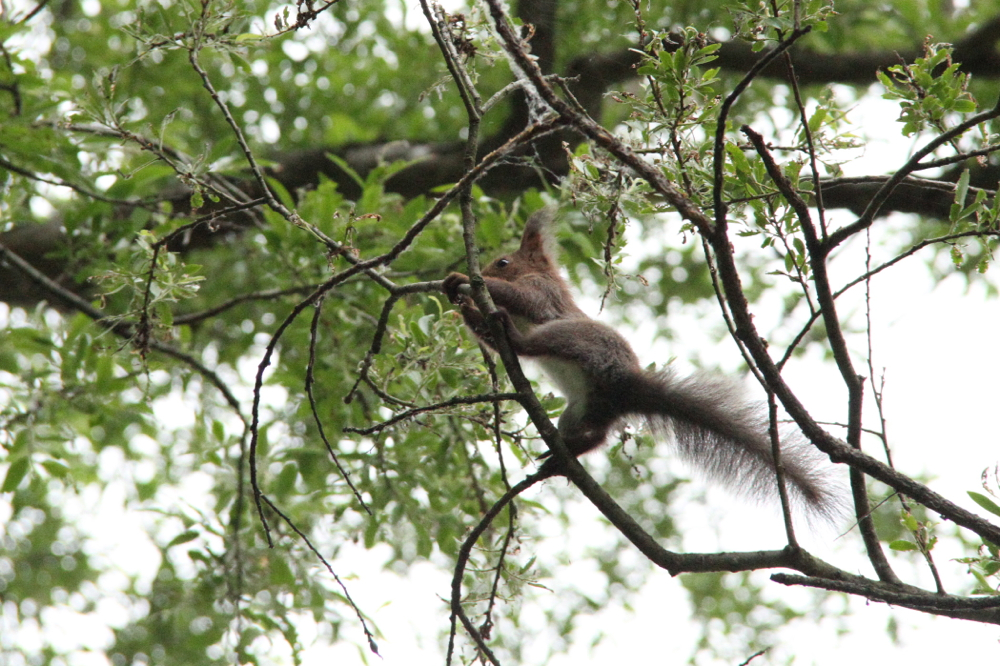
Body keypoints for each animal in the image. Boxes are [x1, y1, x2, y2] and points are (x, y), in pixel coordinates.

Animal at [446, 210, 844, 516]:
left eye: (503, 262)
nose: (483, 268)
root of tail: (626, 385)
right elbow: (485, 331)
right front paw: (463, 303)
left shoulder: (542, 293)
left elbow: (515, 296)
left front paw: (465, 281)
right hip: (581, 410)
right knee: (597, 436)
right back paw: (564, 455)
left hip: (573, 337)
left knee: (533, 346)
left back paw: (516, 338)